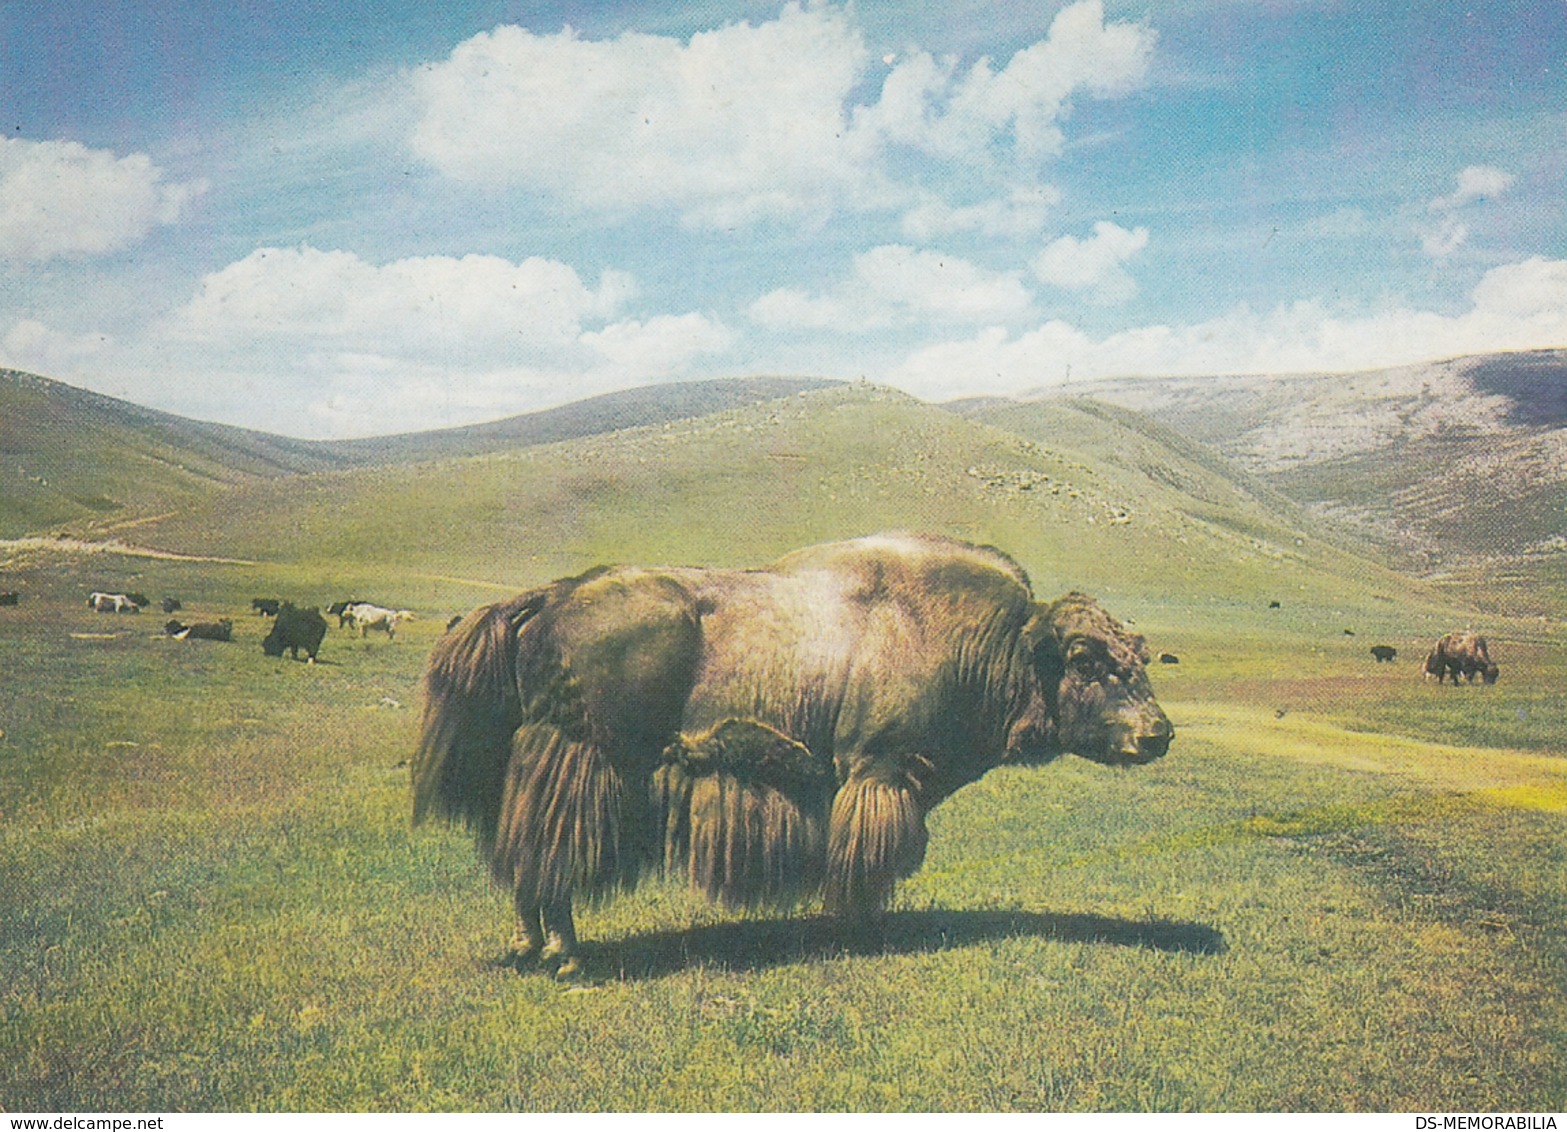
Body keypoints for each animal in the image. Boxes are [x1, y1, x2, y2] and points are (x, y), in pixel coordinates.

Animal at [414, 533, 1173, 979]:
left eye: (1138, 656)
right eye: (1087, 659)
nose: (1157, 733)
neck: (988, 644)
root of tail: (550, 595)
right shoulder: (879, 771)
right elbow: (869, 859)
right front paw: (858, 930)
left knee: (524, 860)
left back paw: (531, 948)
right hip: (583, 764)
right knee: (547, 859)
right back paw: (566, 957)